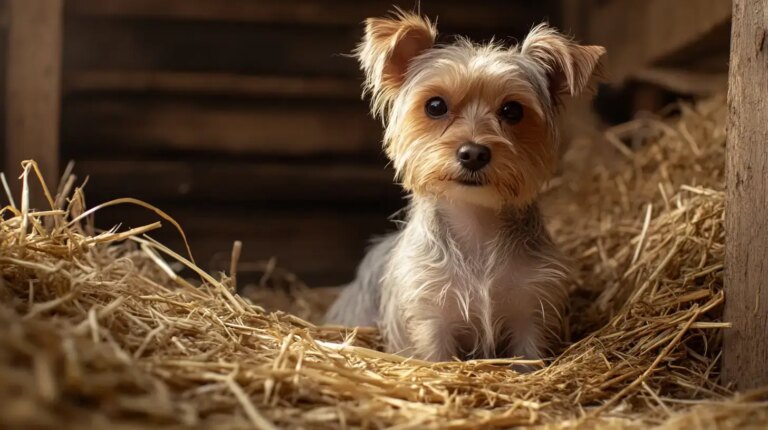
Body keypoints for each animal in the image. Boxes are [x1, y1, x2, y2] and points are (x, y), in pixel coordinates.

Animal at [324, 10, 608, 362]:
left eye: (512, 110)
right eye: (435, 106)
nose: (473, 153)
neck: (475, 223)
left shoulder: (530, 314)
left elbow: (528, 360)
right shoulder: (432, 321)